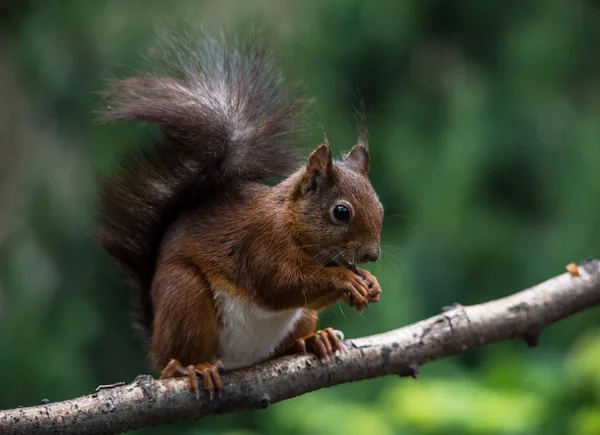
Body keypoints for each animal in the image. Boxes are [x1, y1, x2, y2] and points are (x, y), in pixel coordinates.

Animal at [95, 32, 382, 400]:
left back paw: (314, 339)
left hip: (295, 319)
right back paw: (190, 367)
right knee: (177, 357)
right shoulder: (260, 244)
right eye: (341, 212)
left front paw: (369, 283)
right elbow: (280, 284)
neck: (291, 224)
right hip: (185, 297)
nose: (372, 255)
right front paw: (347, 280)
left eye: (380, 205)